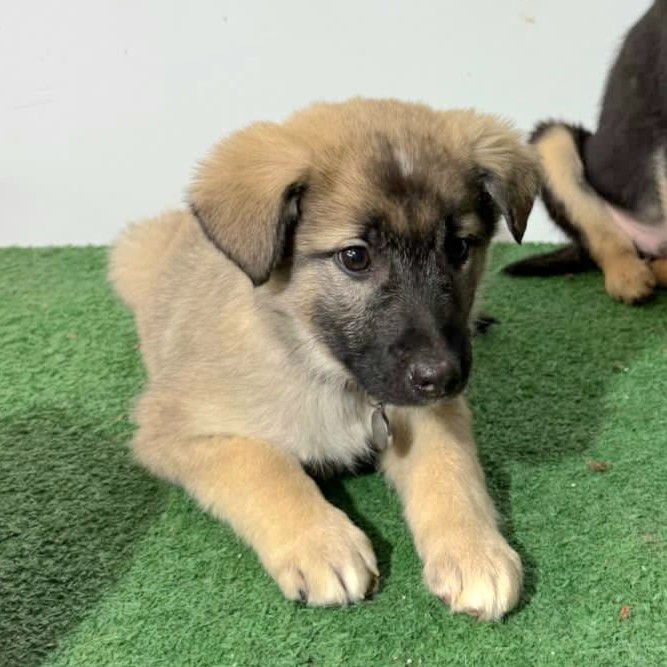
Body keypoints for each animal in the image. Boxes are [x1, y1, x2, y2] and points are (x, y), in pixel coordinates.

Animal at [109, 98, 539, 620]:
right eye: (355, 257)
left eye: (458, 247)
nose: (442, 376)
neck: (324, 368)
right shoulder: (175, 429)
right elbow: (262, 466)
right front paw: (321, 545)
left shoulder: (428, 406)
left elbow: (451, 466)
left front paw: (475, 550)